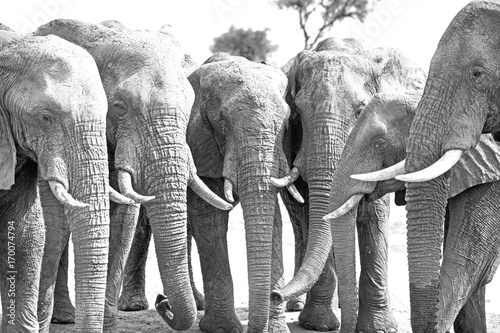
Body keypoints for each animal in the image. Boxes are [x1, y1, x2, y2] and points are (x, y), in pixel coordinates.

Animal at [34, 19, 231, 330]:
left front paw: (107, 327)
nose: (163, 302)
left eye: (190, 106)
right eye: (118, 107)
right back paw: (64, 317)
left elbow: (123, 222)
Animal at [270, 37, 426, 332]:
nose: (274, 294)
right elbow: (311, 214)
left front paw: (380, 327)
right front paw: (317, 324)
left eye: (360, 111)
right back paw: (300, 305)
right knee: (300, 224)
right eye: (297, 114)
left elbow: (374, 216)